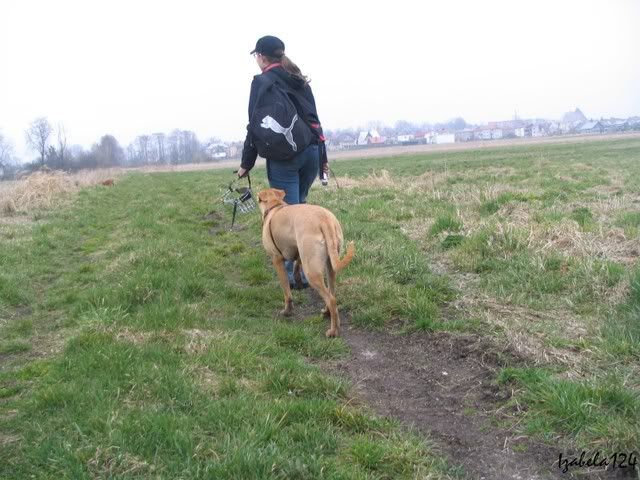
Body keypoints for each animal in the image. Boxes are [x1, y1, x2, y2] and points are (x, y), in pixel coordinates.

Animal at [257, 188, 355, 337]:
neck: (275, 206)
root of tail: (324, 219)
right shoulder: (299, 253)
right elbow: (297, 265)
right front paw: (297, 278)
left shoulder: (277, 260)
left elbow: (286, 291)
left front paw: (287, 311)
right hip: (330, 266)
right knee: (332, 293)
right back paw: (327, 313)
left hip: (312, 273)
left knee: (331, 299)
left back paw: (333, 330)